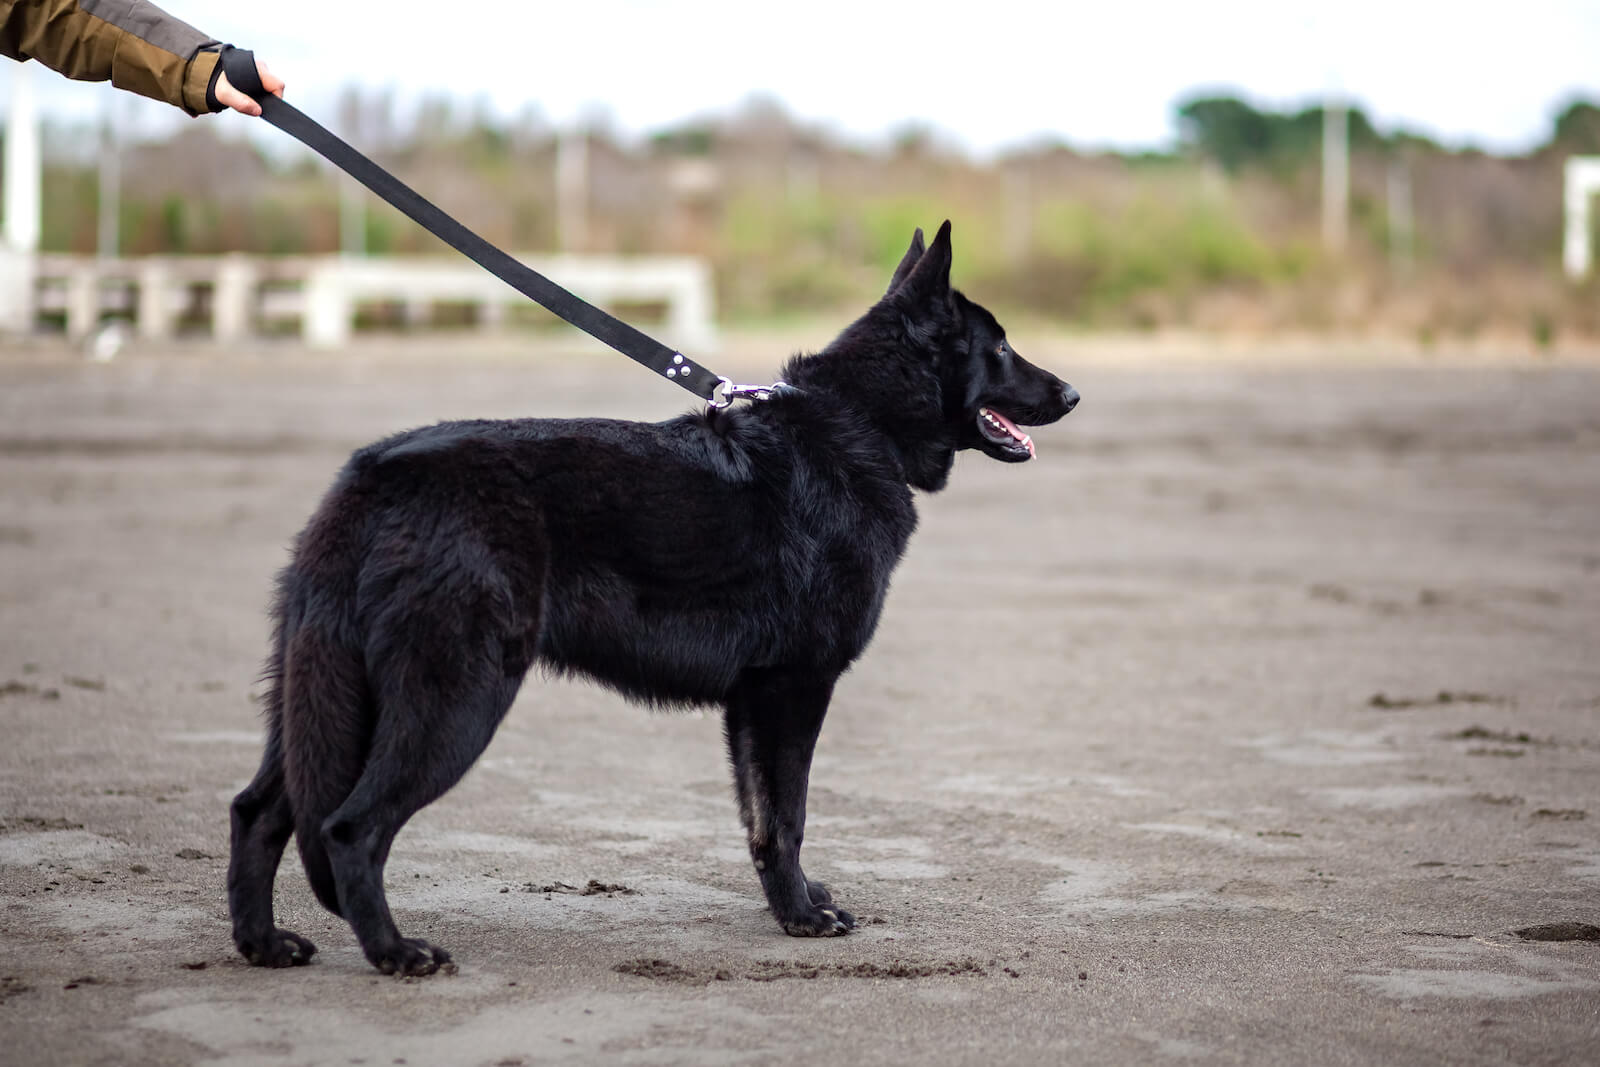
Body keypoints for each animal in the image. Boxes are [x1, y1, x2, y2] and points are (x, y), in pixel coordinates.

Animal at [228, 223, 1075, 979]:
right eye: (1000, 348)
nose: (1071, 392)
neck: (855, 426)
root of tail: (372, 477)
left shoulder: (754, 700)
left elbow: (764, 820)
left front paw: (792, 905)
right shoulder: (795, 689)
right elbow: (790, 815)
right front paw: (803, 917)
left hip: (325, 704)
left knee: (257, 810)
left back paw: (263, 943)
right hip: (454, 704)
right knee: (349, 826)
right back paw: (395, 952)